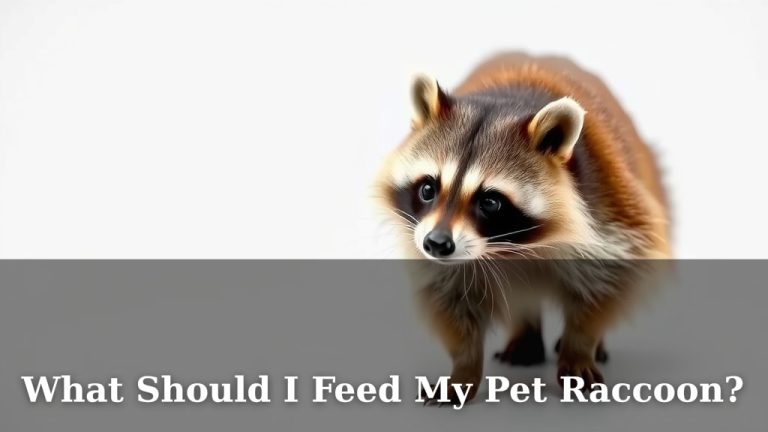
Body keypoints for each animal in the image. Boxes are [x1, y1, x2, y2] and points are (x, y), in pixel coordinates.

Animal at [375, 53, 670, 404]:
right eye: (428, 189)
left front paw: (579, 350)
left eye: (490, 201)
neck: (511, 246)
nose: (436, 244)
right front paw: (463, 369)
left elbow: (606, 286)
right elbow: (454, 301)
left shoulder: (611, 208)